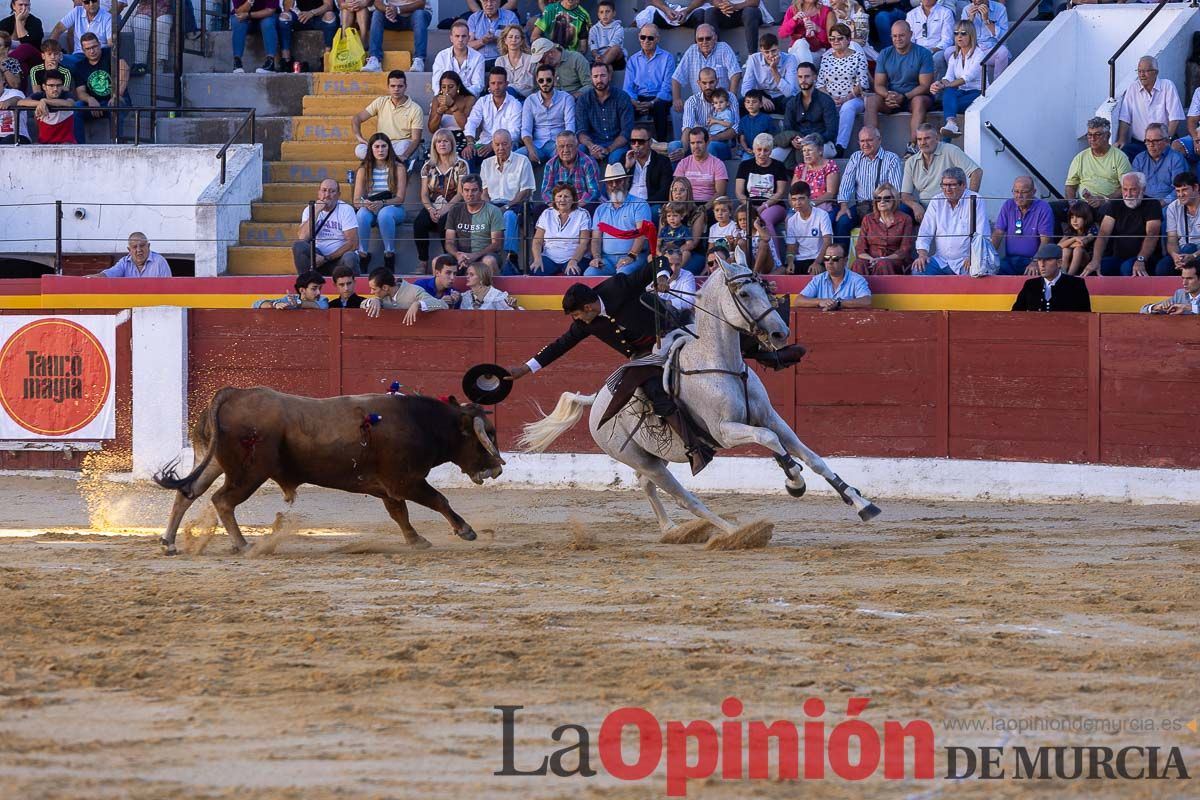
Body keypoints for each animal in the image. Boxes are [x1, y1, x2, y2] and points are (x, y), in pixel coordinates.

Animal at [153, 388, 501, 556]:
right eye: (487, 435)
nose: (497, 468)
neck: (421, 422)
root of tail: (232, 393)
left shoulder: (388, 487)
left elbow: (399, 514)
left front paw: (416, 540)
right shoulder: (406, 481)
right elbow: (439, 500)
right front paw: (465, 530)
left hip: (212, 461)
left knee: (188, 492)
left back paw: (169, 543)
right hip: (249, 473)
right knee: (222, 501)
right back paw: (245, 545)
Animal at [518, 256, 883, 534]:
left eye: (764, 288)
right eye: (744, 293)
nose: (781, 333)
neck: (721, 363)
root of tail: (596, 402)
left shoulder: (770, 417)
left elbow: (813, 457)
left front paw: (862, 503)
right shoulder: (725, 431)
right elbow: (771, 442)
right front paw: (794, 482)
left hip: (655, 457)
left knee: (646, 485)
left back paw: (670, 530)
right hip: (640, 458)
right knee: (683, 497)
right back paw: (733, 532)